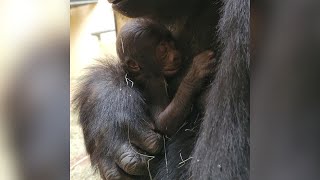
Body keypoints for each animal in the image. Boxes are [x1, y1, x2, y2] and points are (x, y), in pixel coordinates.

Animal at [73, 0, 250, 179]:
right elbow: (162, 121)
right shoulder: (155, 82)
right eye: (163, 50)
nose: (176, 56)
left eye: (171, 45)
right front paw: (111, 109)